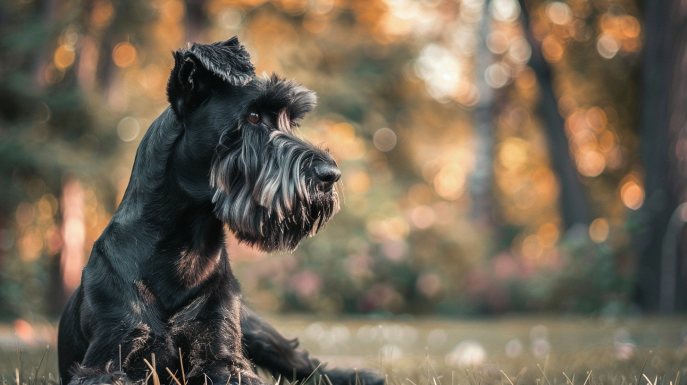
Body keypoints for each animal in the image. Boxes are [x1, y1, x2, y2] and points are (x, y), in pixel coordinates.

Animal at [55, 37, 382, 384]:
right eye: (253, 117)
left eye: (289, 123)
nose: (331, 174)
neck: (187, 248)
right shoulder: (110, 356)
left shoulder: (222, 353)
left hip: (256, 327)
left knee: (304, 362)